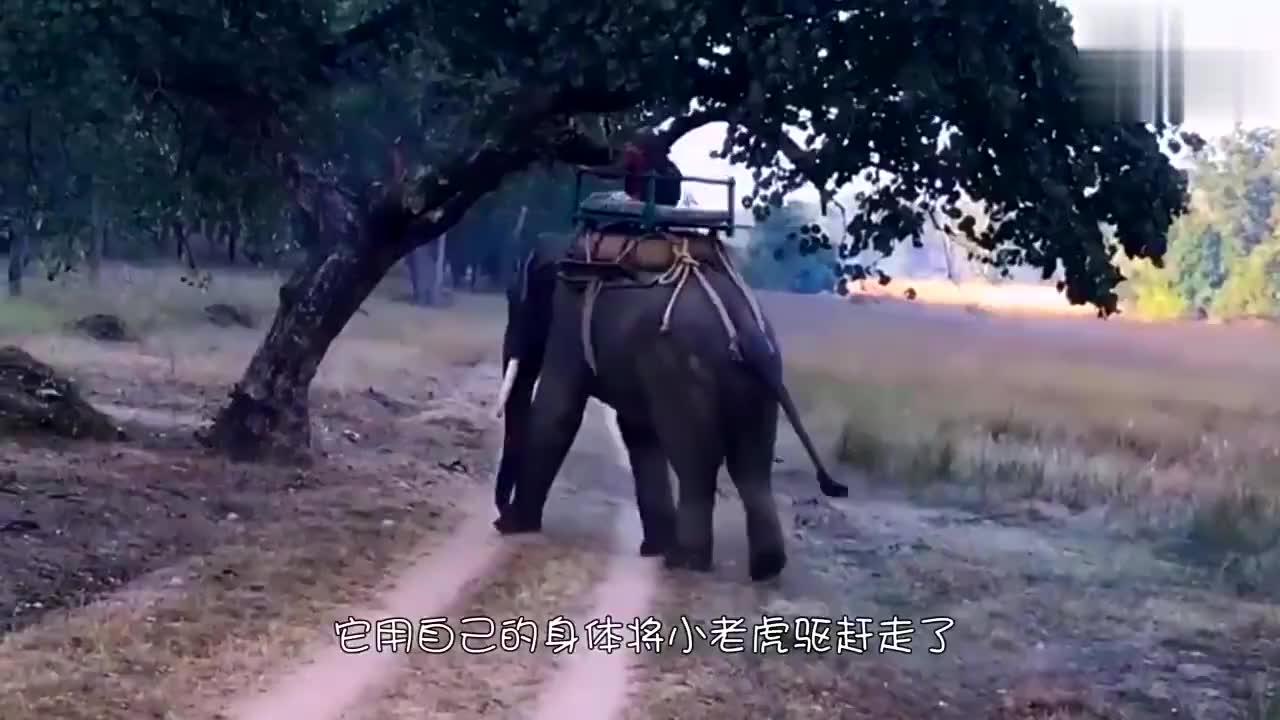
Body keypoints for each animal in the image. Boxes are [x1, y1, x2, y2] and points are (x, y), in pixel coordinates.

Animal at [491, 231, 848, 582]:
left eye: (515, 304)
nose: (498, 518)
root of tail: (746, 334)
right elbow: (638, 431)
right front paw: (652, 547)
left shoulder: (569, 317)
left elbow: (557, 410)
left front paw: (515, 527)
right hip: (757, 379)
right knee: (751, 465)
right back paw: (764, 567)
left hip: (682, 369)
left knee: (696, 462)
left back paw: (684, 560)